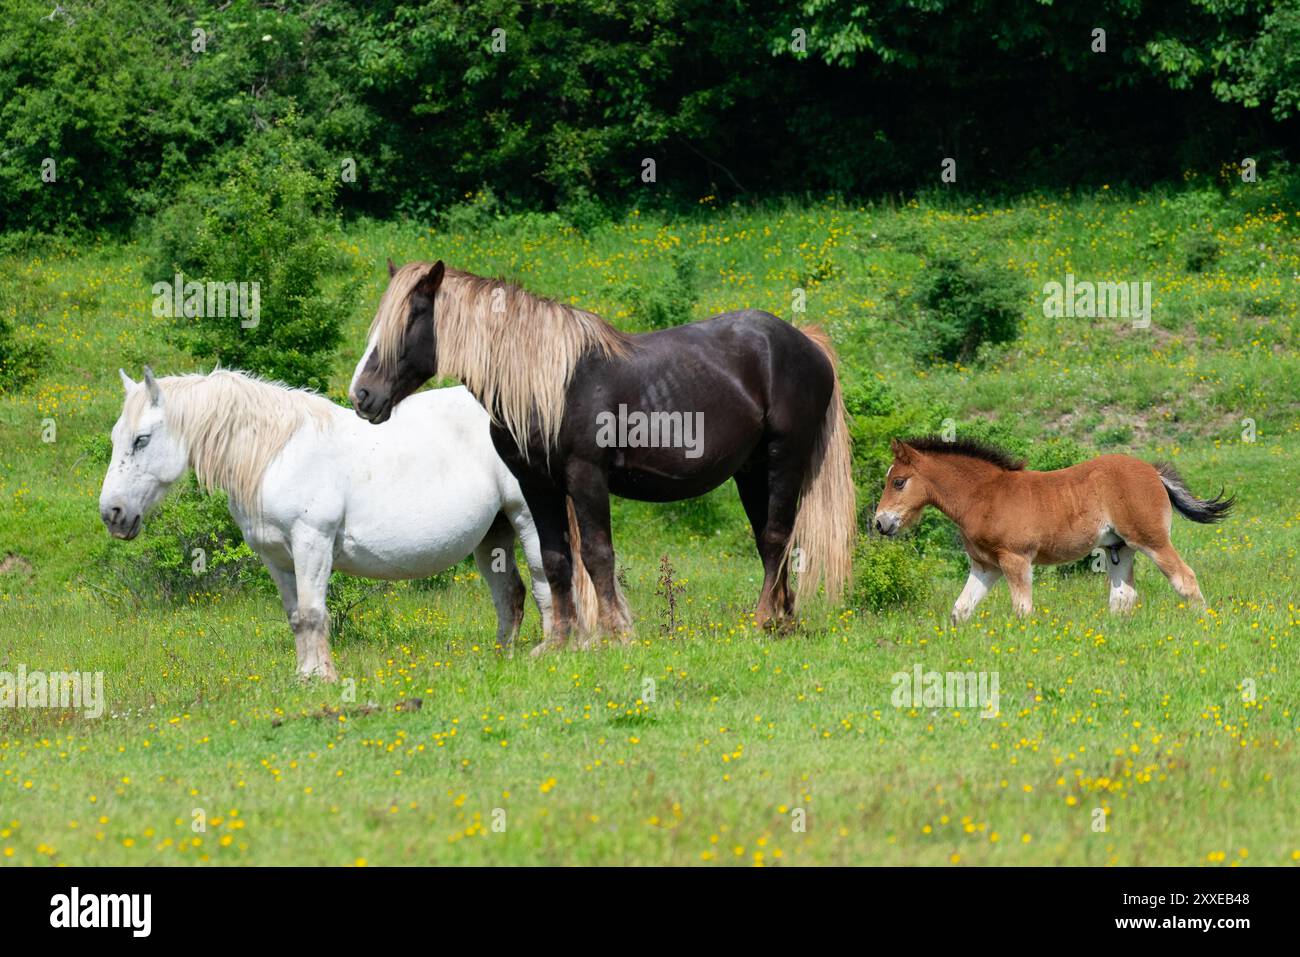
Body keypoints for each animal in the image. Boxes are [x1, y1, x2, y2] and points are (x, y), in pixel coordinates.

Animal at [98, 367, 599, 679]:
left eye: (142, 439)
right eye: (117, 436)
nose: (112, 514)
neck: (278, 454)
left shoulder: (312, 544)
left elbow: (314, 613)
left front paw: (323, 677)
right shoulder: (277, 559)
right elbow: (296, 617)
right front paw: (303, 676)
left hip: (527, 518)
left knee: (546, 583)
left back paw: (549, 652)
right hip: (492, 534)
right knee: (509, 594)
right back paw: (501, 660)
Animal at [348, 259, 856, 654]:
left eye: (413, 315)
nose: (363, 396)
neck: (550, 384)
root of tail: (805, 343)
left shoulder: (585, 476)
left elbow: (597, 555)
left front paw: (617, 634)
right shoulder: (536, 484)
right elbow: (555, 559)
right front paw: (558, 642)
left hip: (784, 459)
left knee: (775, 536)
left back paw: (763, 620)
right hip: (751, 472)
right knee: (772, 541)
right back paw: (783, 621)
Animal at [871, 437, 1234, 621]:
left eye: (898, 481)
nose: (880, 523)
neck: (984, 496)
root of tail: (1152, 471)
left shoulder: (1016, 559)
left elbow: (1022, 610)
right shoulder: (985, 565)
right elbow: (961, 610)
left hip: (1151, 540)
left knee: (1184, 579)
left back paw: (1204, 623)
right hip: (1118, 548)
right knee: (1123, 596)